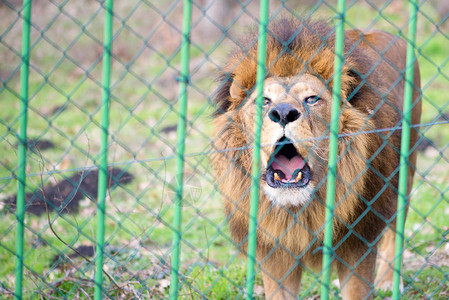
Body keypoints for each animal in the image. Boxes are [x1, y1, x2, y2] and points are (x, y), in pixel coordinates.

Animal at [212, 17, 422, 298]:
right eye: (265, 101)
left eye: (311, 99)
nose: (283, 112)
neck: (300, 209)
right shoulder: (274, 253)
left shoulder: (358, 241)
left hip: (404, 173)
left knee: (395, 230)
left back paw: (389, 281)